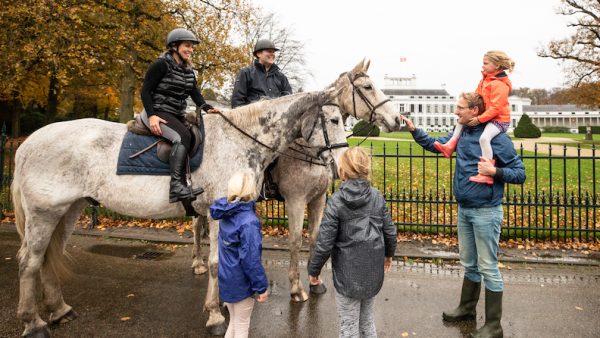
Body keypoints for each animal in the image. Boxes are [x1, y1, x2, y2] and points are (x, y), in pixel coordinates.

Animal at [10, 88, 352, 336]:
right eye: (335, 121)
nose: (340, 166)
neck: (240, 139)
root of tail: (26, 145)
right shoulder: (221, 211)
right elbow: (215, 263)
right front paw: (215, 315)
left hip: (68, 210)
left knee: (47, 257)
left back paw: (59, 309)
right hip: (43, 213)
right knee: (29, 261)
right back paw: (33, 322)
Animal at [190, 58, 400, 302]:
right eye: (368, 87)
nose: (397, 119)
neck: (310, 148)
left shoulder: (318, 199)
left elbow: (315, 237)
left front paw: (314, 280)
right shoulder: (296, 200)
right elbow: (296, 240)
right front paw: (296, 286)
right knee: (196, 224)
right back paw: (198, 262)